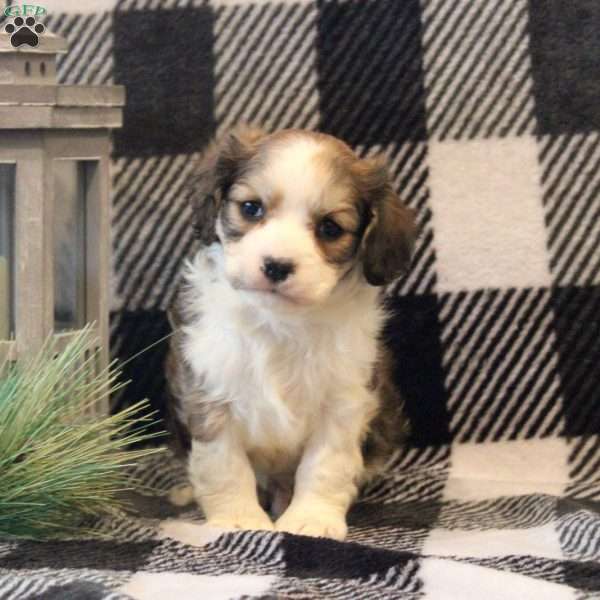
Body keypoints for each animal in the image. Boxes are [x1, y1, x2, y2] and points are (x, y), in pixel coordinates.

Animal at [166, 126, 414, 540]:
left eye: (330, 228)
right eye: (251, 208)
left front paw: (311, 518)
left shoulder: (344, 402)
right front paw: (237, 518)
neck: (279, 324)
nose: (277, 265)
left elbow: (325, 466)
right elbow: (224, 464)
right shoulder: (210, 390)